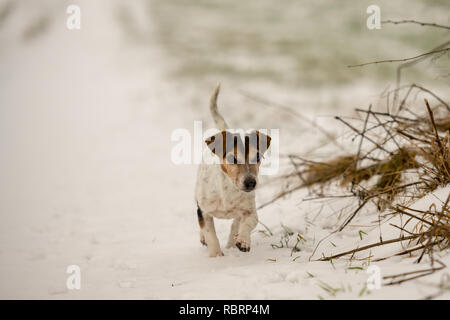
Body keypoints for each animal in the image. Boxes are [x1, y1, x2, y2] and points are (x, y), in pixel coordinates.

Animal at [194, 85, 270, 258]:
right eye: (232, 158)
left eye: (257, 156)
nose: (251, 182)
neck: (229, 189)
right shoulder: (204, 212)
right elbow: (210, 233)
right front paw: (216, 256)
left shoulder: (250, 211)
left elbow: (247, 223)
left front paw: (243, 241)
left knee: (235, 223)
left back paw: (232, 242)